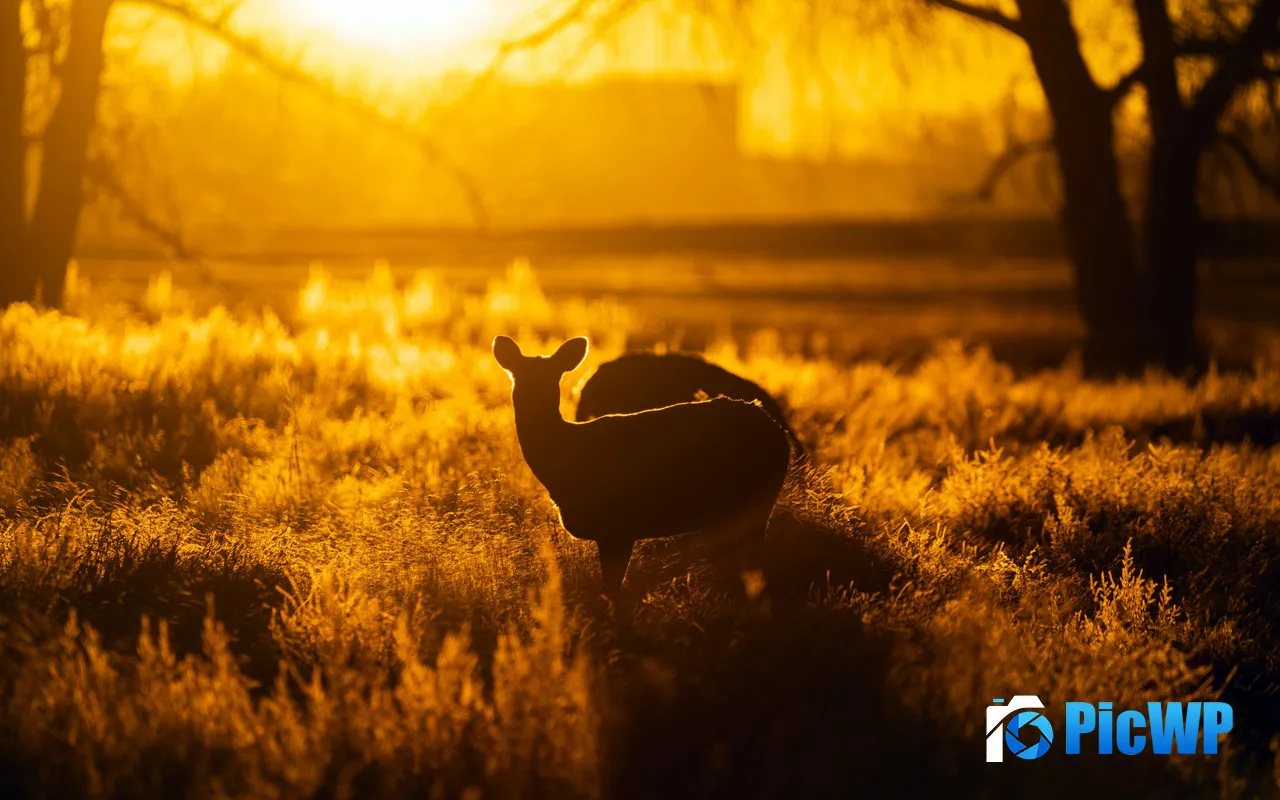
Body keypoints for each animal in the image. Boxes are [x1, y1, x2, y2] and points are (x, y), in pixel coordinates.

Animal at [493, 335, 792, 604]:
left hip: (753, 500)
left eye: (554, 376)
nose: (532, 397)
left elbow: (612, 594)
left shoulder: (618, 527)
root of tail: (780, 434)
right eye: (516, 375)